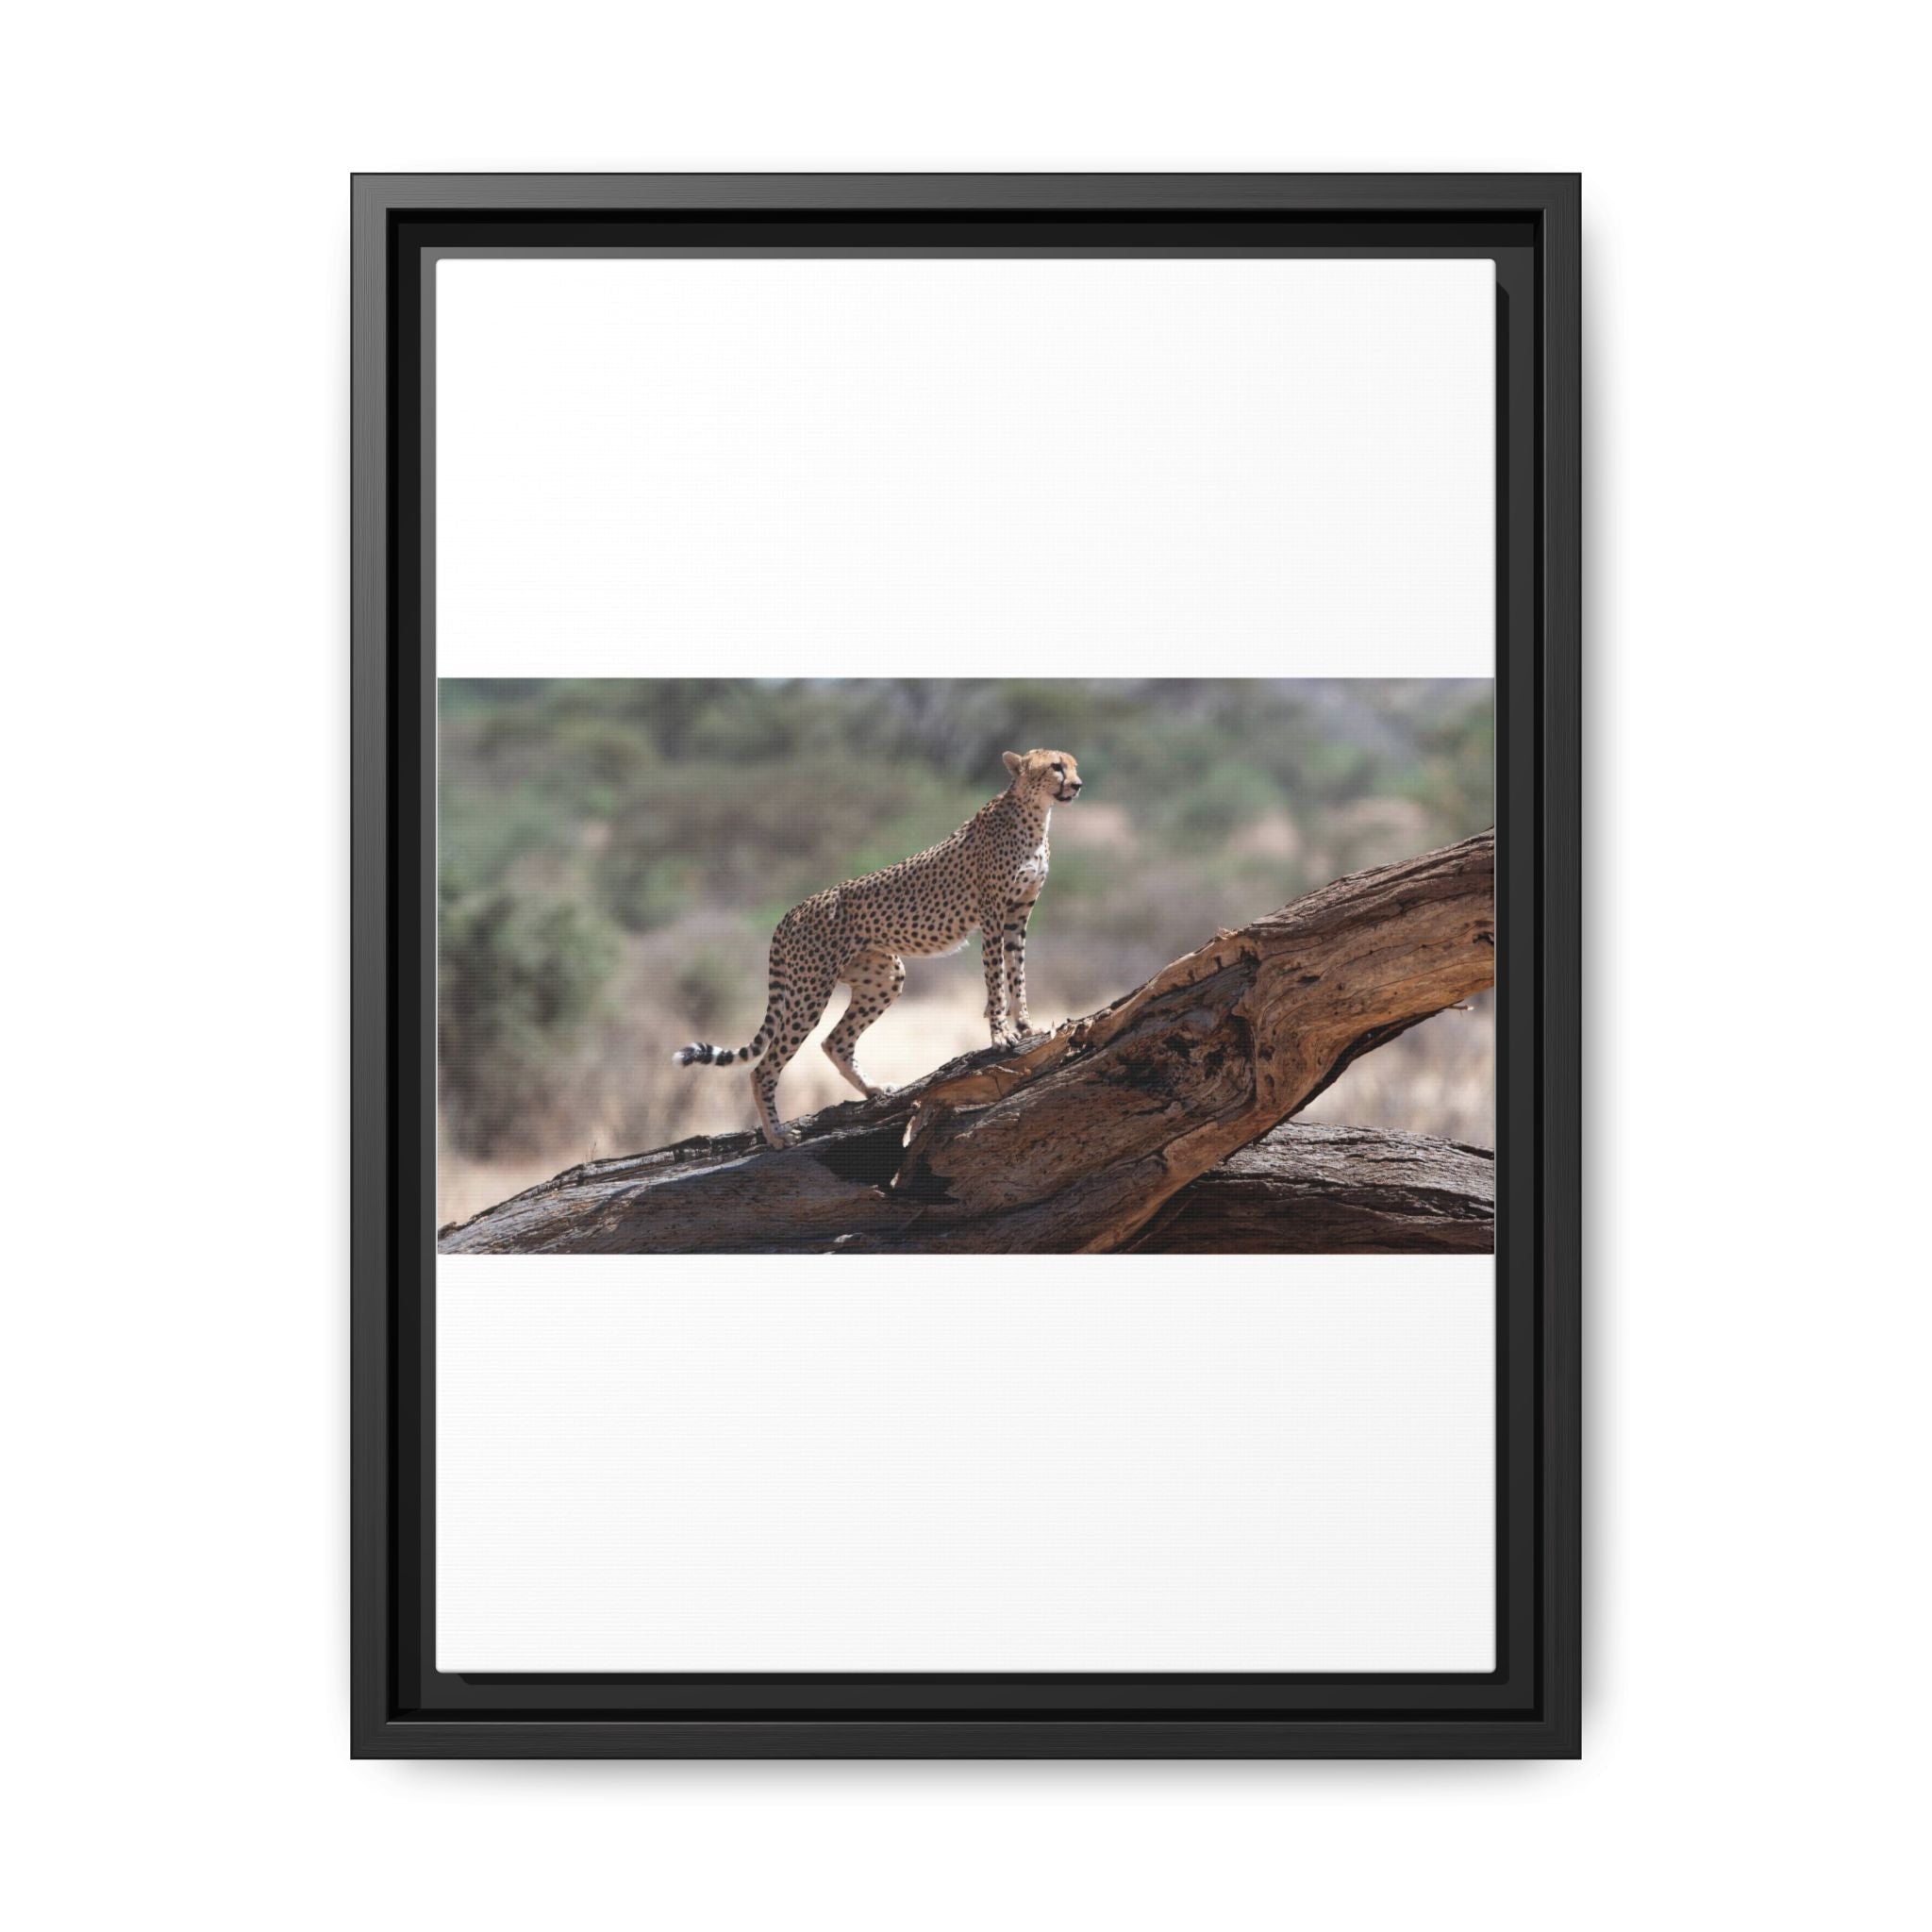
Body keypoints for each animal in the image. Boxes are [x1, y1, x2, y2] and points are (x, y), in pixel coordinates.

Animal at [672, 748, 1084, 1147]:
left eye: (1073, 766)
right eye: (1055, 767)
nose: (1078, 785)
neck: (1035, 814)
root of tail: (792, 911)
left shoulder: (1017, 916)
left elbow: (1017, 974)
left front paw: (1026, 1025)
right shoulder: (993, 915)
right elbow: (996, 979)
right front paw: (1001, 1035)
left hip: (883, 975)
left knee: (835, 1042)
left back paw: (873, 1090)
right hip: (810, 990)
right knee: (764, 1067)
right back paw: (777, 1135)